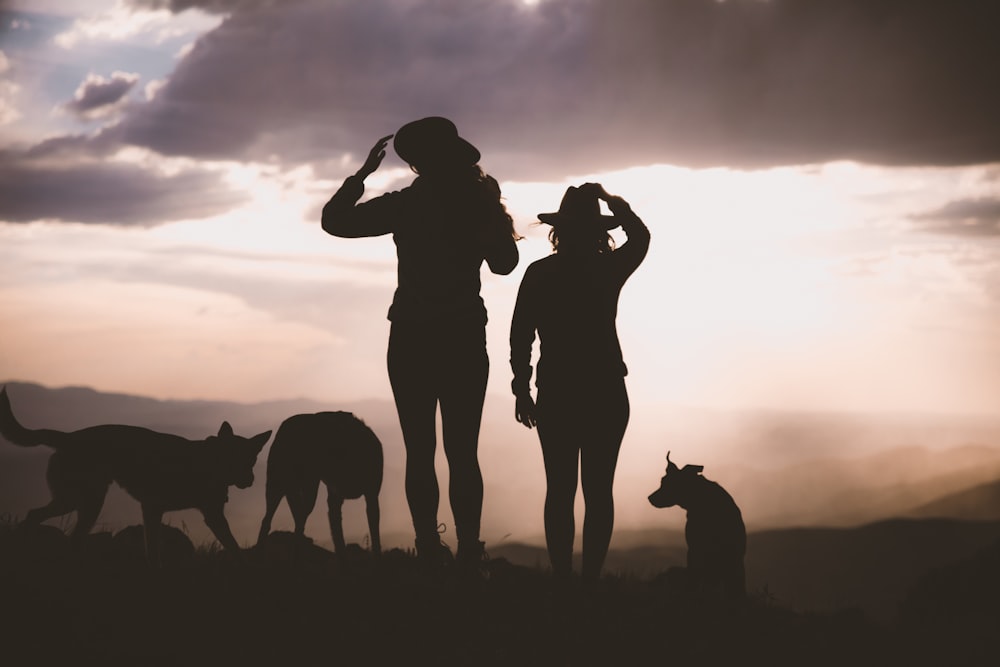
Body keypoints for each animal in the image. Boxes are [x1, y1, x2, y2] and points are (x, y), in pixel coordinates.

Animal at [0, 386, 274, 564]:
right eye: (235, 459)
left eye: (251, 461)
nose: (250, 481)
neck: (207, 462)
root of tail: (68, 437)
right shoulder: (164, 509)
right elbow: (231, 546)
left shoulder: (172, 511)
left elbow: (155, 548)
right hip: (81, 500)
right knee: (36, 516)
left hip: (83, 502)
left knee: (57, 529)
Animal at [258, 412, 382, 560]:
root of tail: (285, 425)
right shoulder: (335, 499)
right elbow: (339, 539)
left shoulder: (370, 497)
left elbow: (373, 537)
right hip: (286, 488)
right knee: (271, 521)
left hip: (300, 493)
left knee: (295, 521)